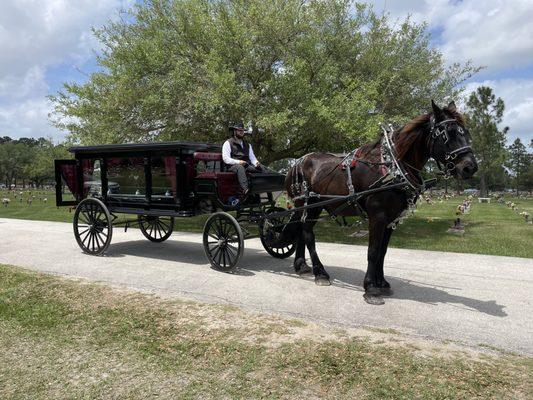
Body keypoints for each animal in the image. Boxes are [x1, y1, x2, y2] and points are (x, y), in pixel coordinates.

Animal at [284, 101, 476, 304]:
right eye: (447, 134)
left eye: (465, 132)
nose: (470, 167)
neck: (392, 167)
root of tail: (296, 163)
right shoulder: (378, 216)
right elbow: (373, 251)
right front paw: (370, 287)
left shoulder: (392, 219)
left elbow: (382, 252)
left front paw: (381, 282)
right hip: (307, 204)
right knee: (308, 234)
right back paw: (320, 273)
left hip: (311, 207)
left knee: (302, 231)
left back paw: (302, 267)